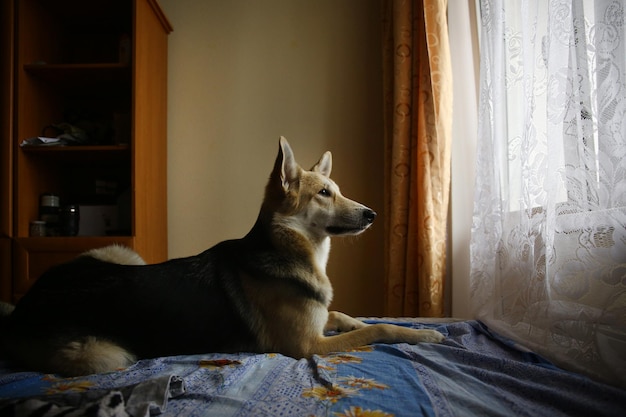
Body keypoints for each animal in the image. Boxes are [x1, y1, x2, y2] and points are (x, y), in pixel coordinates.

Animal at [3, 138, 444, 376]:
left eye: (337, 190)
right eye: (324, 193)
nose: (373, 215)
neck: (294, 251)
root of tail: (23, 306)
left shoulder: (320, 323)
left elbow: (349, 316)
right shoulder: (308, 346)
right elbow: (377, 330)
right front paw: (423, 334)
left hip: (121, 254)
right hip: (106, 355)